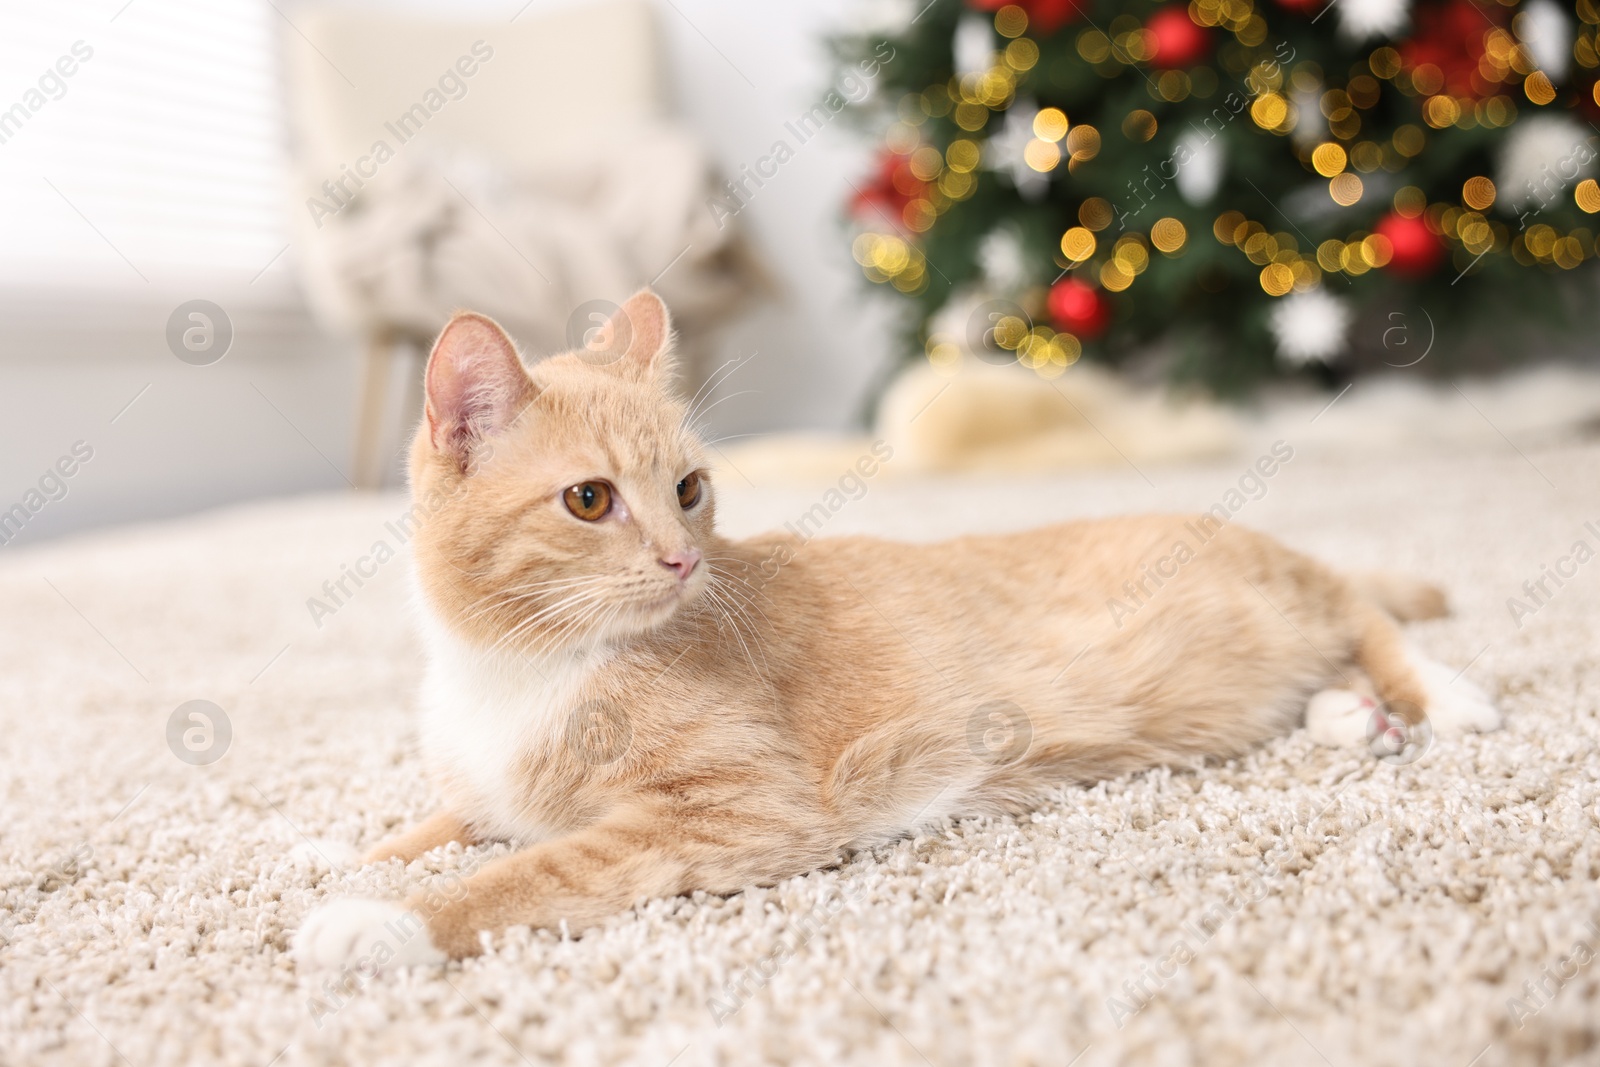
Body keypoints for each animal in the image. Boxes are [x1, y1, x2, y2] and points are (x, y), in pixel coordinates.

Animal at [294, 289, 1504, 966]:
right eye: (592, 500)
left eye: (686, 488)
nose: (683, 559)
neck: (515, 667)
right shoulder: (487, 789)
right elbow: (438, 820)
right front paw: (336, 848)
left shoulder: (733, 811)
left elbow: (523, 873)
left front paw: (381, 921)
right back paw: (1355, 719)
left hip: (1287, 593)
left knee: (1363, 610)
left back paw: (1439, 694)